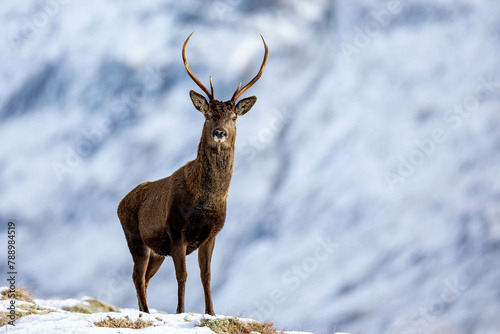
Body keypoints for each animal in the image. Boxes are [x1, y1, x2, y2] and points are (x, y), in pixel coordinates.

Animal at [117, 32, 268, 318]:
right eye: (208, 115)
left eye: (233, 117)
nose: (220, 133)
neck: (207, 200)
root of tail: (119, 203)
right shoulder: (176, 229)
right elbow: (182, 275)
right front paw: (180, 312)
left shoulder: (211, 234)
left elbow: (206, 275)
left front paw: (211, 312)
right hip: (135, 238)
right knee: (136, 275)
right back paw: (146, 312)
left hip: (156, 251)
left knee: (144, 277)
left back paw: (145, 310)